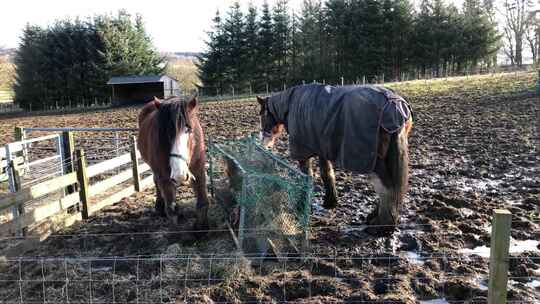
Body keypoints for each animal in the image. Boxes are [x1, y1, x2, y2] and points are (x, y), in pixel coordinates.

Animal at [137, 96, 209, 229]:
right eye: (165, 133)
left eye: (189, 130)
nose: (179, 174)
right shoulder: (164, 176)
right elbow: (171, 210)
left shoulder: (199, 170)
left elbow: (203, 203)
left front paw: (202, 228)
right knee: (157, 183)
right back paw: (159, 207)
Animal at [258, 84, 414, 234]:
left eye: (262, 115)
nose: (264, 140)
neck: (292, 104)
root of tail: (394, 105)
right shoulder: (322, 149)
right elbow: (327, 173)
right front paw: (330, 201)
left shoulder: (303, 153)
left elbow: (306, 176)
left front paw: (302, 205)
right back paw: (375, 218)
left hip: (375, 163)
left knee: (387, 187)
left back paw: (381, 226)